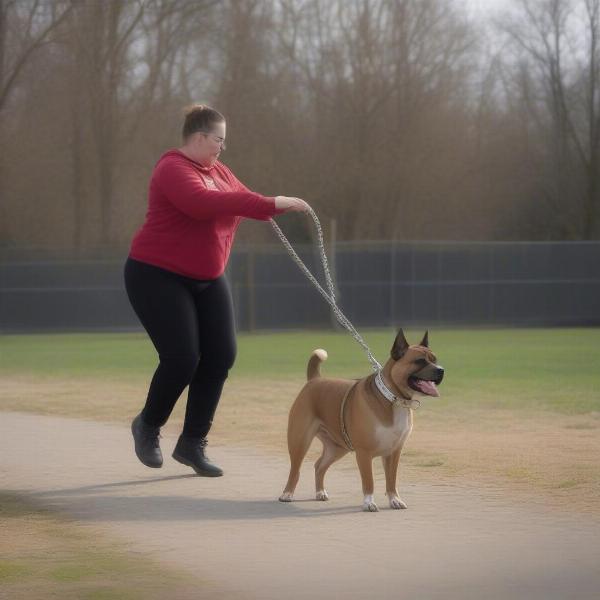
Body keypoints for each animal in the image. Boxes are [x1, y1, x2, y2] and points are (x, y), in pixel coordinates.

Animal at [278, 328, 442, 510]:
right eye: (419, 361)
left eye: (435, 359)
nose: (441, 370)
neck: (392, 398)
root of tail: (315, 379)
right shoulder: (364, 453)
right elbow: (369, 481)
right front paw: (369, 503)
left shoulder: (394, 452)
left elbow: (391, 480)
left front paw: (394, 499)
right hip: (300, 441)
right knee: (295, 469)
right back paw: (287, 494)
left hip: (337, 447)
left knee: (319, 465)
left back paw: (320, 492)